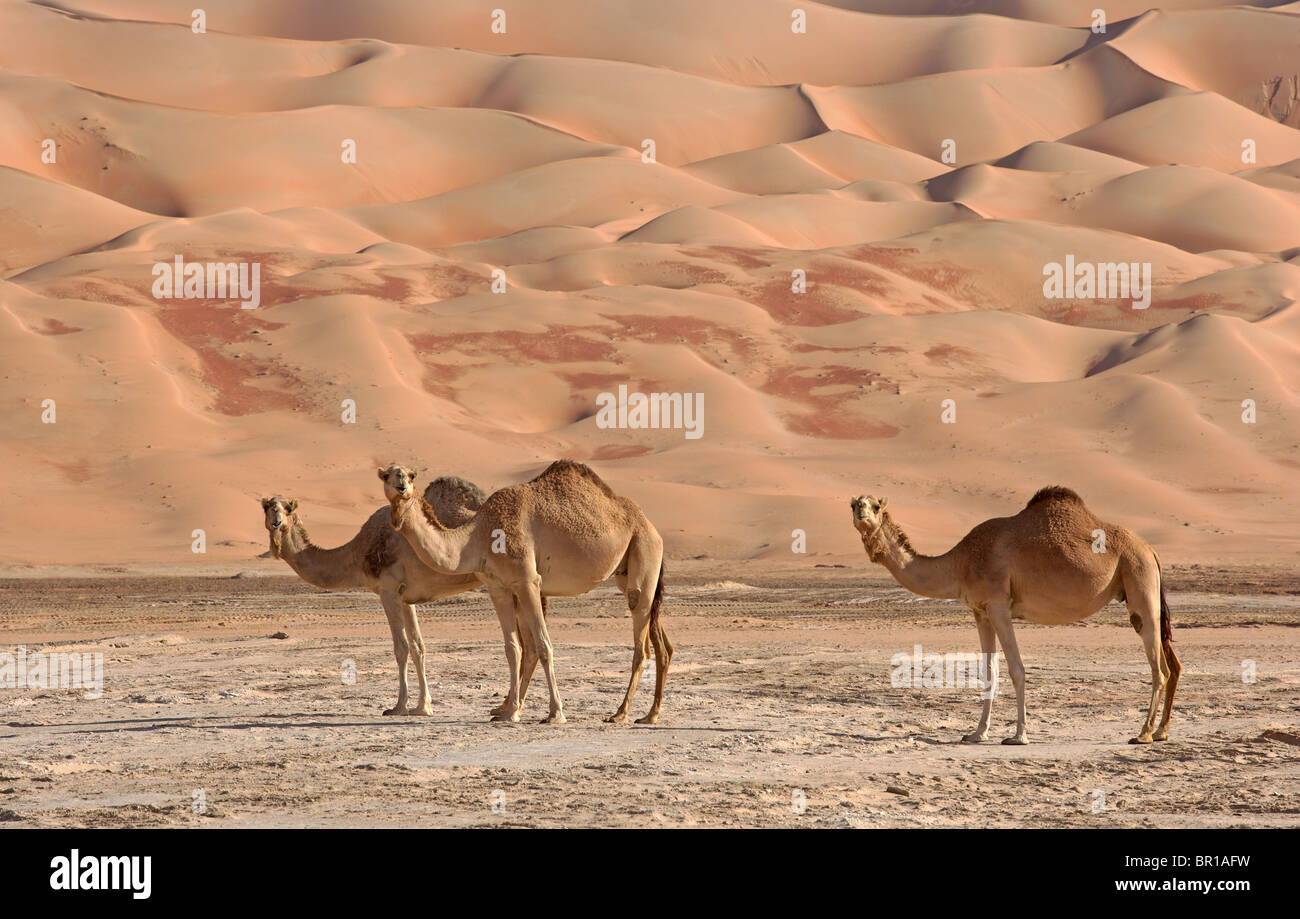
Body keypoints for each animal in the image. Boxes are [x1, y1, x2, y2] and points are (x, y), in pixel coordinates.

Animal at [262, 475, 500, 717]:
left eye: (288, 508)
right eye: (267, 507)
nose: (276, 522)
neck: (358, 553)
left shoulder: (388, 590)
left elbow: (401, 648)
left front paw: (399, 706)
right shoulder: (406, 598)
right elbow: (418, 646)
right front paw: (423, 706)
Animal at [380, 460, 672, 725]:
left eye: (410, 475)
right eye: (386, 475)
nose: (401, 486)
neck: (478, 536)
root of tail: (652, 528)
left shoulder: (528, 581)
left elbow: (543, 645)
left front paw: (555, 713)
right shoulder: (497, 587)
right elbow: (514, 649)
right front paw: (510, 712)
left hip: (643, 551)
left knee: (641, 641)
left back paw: (621, 713)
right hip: (629, 568)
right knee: (657, 641)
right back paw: (649, 715)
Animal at [850, 486, 1180, 745]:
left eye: (875, 505)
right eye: (854, 504)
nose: (861, 513)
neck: (961, 562)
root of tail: (1150, 550)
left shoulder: (999, 605)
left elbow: (1017, 669)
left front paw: (1019, 735)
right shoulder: (980, 611)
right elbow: (988, 672)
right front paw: (977, 733)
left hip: (1138, 578)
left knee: (1159, 667)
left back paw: (1143, 733)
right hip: (1141, 583)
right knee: (1172, 663)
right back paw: (1161, 731)